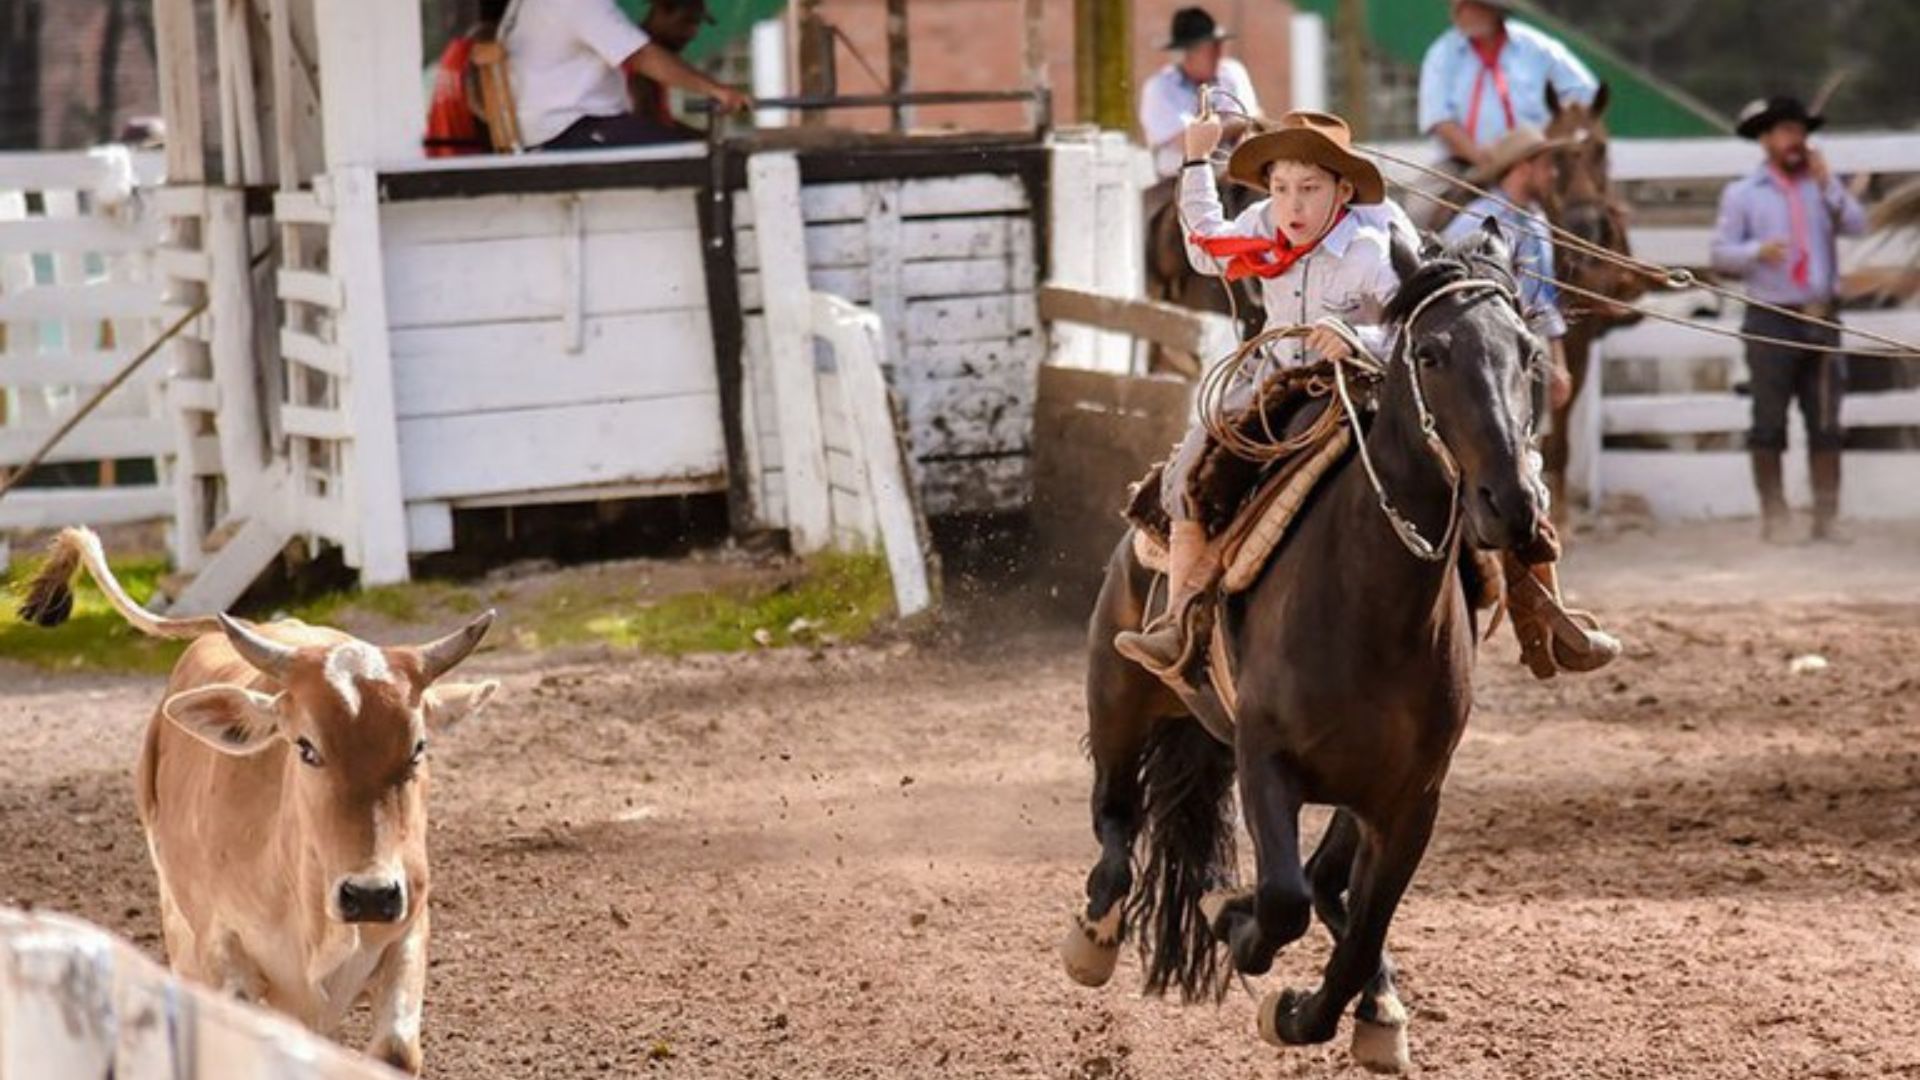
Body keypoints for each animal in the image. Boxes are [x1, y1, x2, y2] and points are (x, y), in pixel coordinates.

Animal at [1067, 226, 1543, 1068]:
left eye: (1528, 352)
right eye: (1431, 353)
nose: (1510, 502)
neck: (1371, 612)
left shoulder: (1412, 800)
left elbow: (1355, 930)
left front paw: (1312, 1012)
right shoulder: (1265, 760)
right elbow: (1282, 900)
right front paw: (1232, 917)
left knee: (1329, 884)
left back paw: (1379, 1003)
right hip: (1118, 692)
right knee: (1116, 820)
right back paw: (1094, 934)